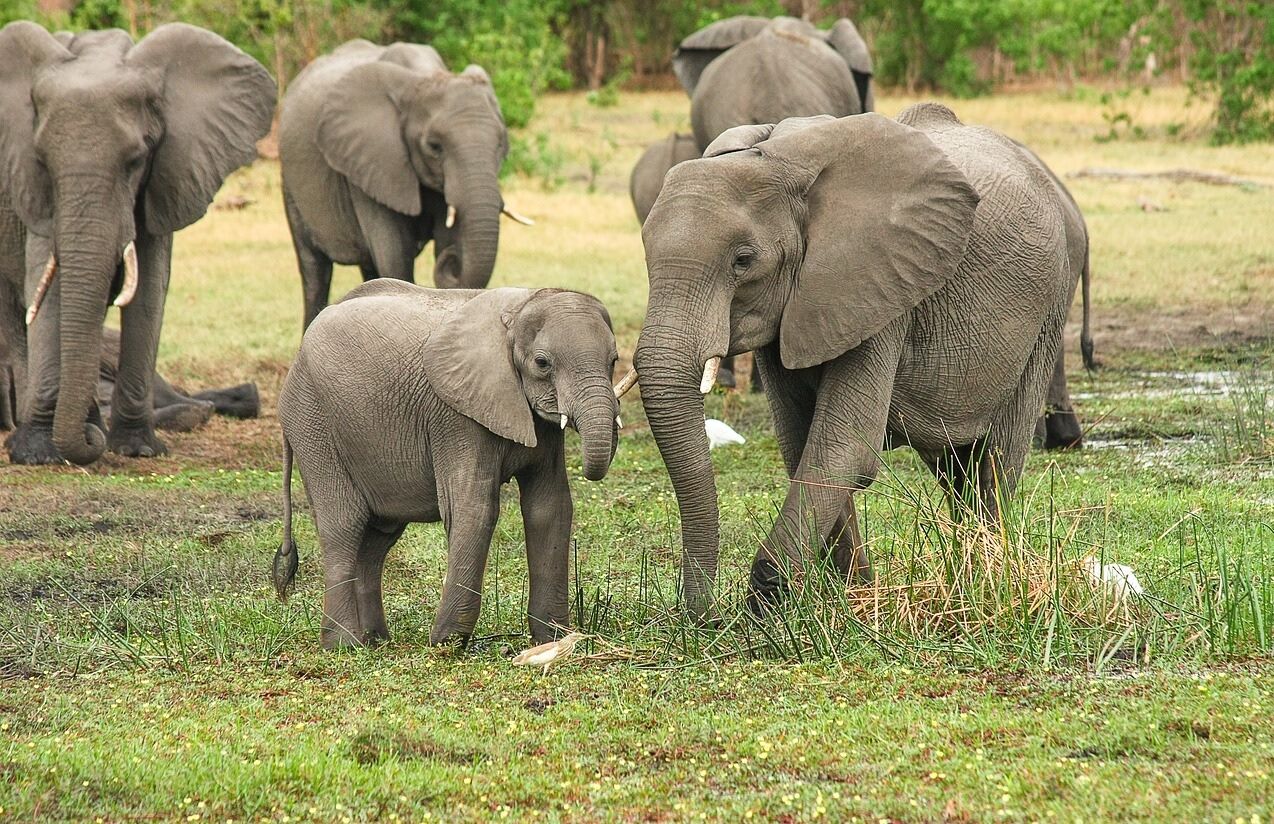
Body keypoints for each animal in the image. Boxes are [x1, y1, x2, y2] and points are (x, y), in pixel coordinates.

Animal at [0, 22, 275, 466]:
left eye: (135, 161)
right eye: (42, 161)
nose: (89, 443)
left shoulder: (166, 175)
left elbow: (148, 291)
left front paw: (137, 448)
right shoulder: (32, 191)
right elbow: (49, 288)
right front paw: (37, 454)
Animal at [273, 279, 622, 649]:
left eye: (613, 360)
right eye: (542, 363)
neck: (519, 309)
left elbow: (549, 507)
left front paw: (553, 640)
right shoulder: (456, 416)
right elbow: (474, 508)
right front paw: (447, 643)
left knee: (377, 537)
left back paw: (375, 641)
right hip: (312, 421)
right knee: (344, 524)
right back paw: (344, 645)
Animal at [280, 40, 531, 330]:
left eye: (501, 144)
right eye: (434, 146)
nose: (453, 260)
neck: (424, 76)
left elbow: (443, 239)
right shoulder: (371, 163)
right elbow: (394, 255)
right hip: (290, 184)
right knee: (315, 271)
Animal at [619, 105, 1084, 618]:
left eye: (743, 260)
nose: (702, 617)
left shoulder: (881, 286)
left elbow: (843, 449)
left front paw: (769, 604)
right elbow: (801, 444)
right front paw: (852, 598)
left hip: (1048, 309)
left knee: (995, 459)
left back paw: (987, 580)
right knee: (954, 467)